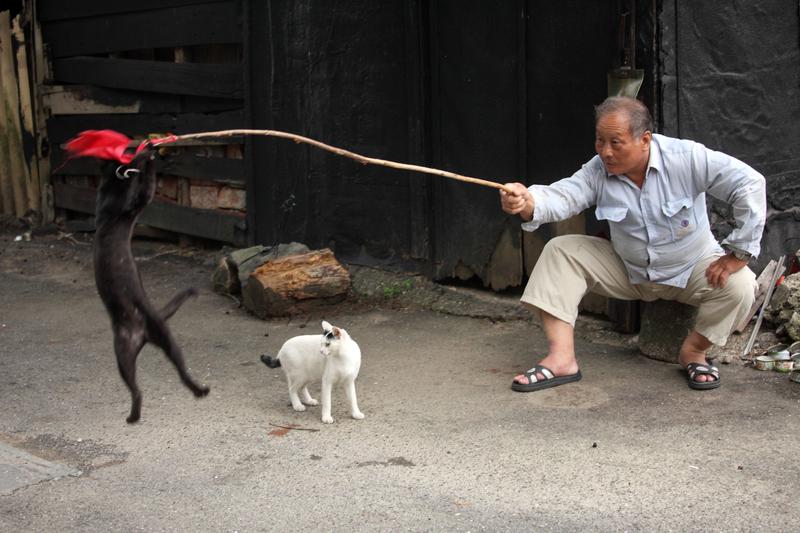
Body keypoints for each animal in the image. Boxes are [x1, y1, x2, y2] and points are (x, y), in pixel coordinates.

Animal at [94, 143, 209, 422]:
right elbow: (142, 189)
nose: (130, 148)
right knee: (138, 387)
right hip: (125, 353)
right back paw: (136, 414)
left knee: (172, 373)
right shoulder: (127, 204)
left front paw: (150, 151)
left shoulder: (127, 204)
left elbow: (144, 189)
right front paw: (148, 155)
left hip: (159, 341)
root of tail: (141, 334)